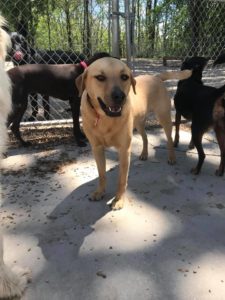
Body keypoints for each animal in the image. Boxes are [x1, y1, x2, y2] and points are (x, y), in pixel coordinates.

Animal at [77, 57, 135, 210]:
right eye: (100, 77)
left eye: (124, 77)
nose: (119, 96)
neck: (105, 119)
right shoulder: (96, 148)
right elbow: (102, 174)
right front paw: (100, 192)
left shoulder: (124, 150)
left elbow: (122, 179)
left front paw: (119, 199)